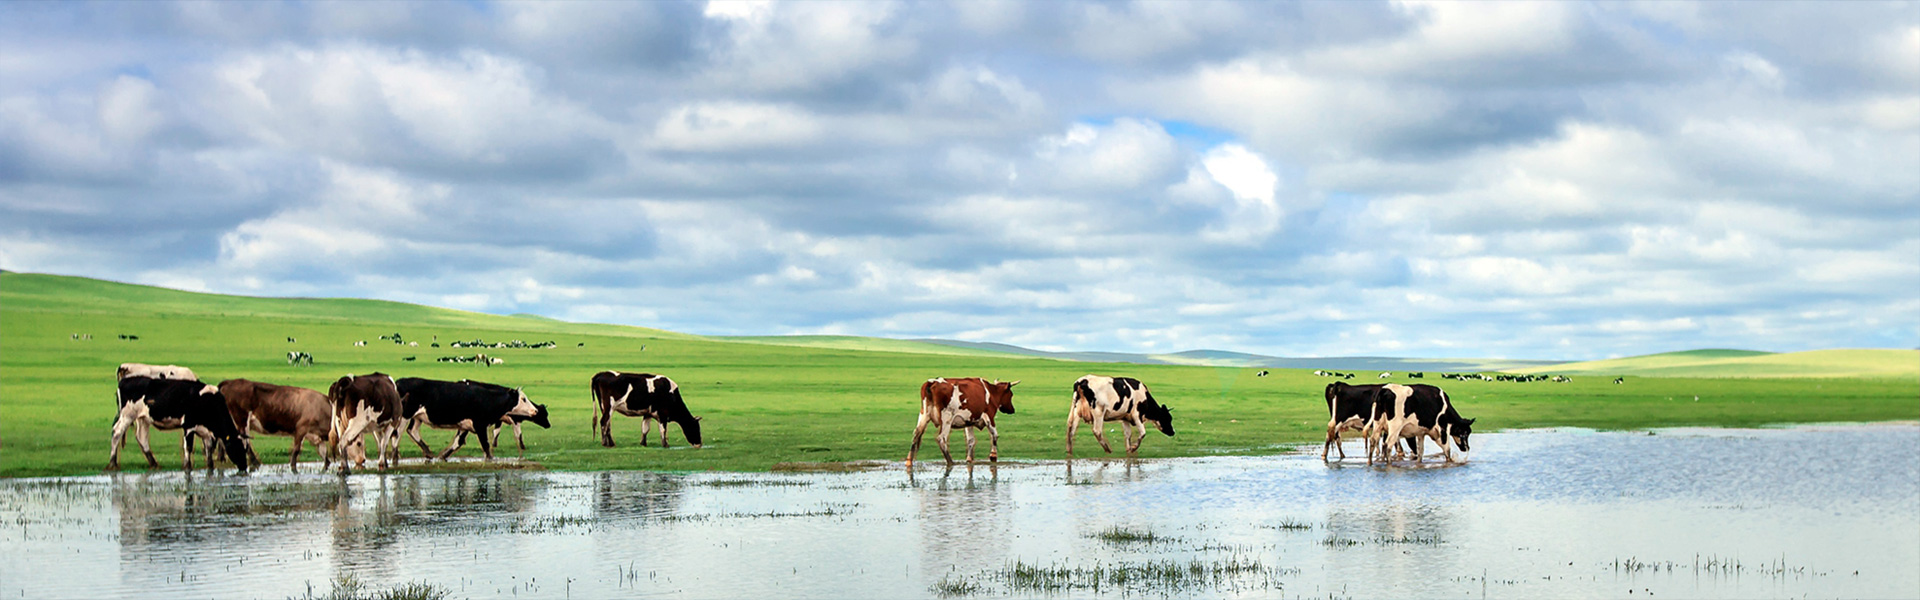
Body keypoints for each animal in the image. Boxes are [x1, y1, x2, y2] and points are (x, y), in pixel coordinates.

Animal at [109, 376, 251, 475]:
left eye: (245, 449)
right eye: (237, 447)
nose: (244, 467)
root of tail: (124, 381)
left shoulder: (205, 431)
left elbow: (209, 450)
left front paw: (210, 467)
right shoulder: (188, 426)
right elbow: (188, 447)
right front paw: (187, 467)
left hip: (143, 418)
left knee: (141, 437)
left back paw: (154, 463)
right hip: (127, 415)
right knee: (117, 432)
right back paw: (112, 462)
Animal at [397, 376, 549, 461]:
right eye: (523, 399)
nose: (535, 410)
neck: (487, 398)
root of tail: (399, 382)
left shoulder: (465, 426)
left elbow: (457, 442)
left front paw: (443, 456)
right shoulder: (480, 425)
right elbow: (486, 445)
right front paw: (491, 459)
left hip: (417, 417)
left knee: (412, 431)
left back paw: (428, 452)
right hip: (404, 415)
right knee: (398, 433)